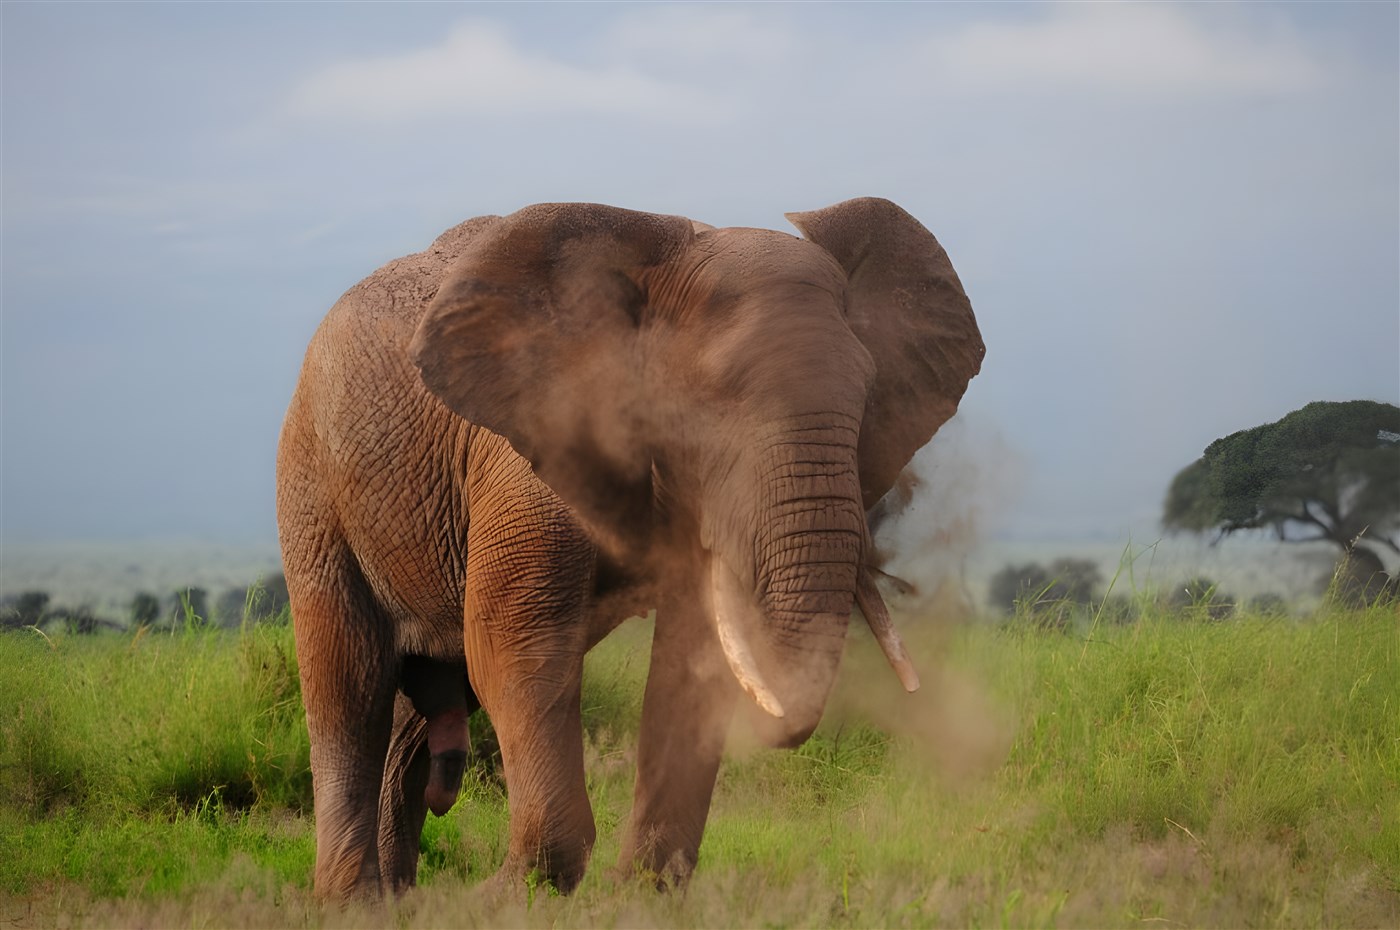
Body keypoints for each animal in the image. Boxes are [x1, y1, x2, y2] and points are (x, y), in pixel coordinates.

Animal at [275, 197, 984, 901]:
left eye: (868, 396)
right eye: (707, 402)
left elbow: (692, 655)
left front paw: (642, 892)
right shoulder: (532, 445)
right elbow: (516, 636)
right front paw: (511, 896)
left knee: (422, 699)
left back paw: (398, 898)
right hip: (312, 474)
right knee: (350, 678)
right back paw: (354, 902)